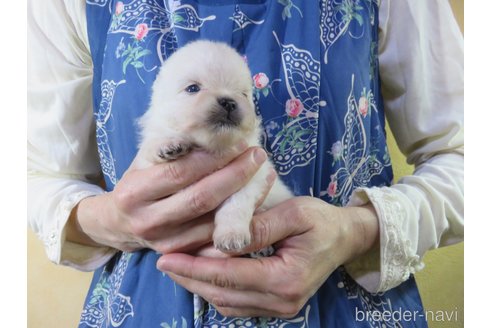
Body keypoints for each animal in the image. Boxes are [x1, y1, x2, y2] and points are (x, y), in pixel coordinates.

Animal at [134, 40, 292, 251]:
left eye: (243, 94)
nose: (230, 102)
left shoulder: (251, 175)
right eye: (193, 88)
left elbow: (235, 204)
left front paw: (231, 235)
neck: (211, 145)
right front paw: (167, 144)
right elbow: (154, 142)